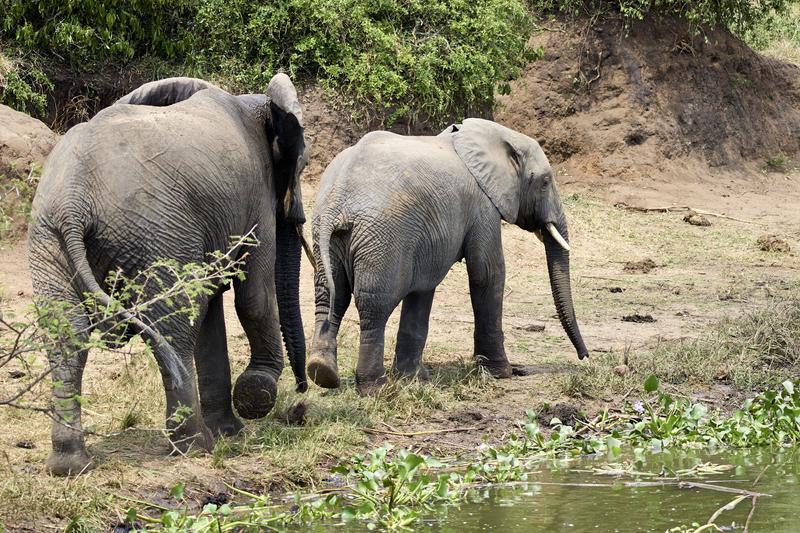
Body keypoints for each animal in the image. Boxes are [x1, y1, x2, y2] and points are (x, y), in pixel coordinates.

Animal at [28, 71, 310, 474]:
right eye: (303, 167)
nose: (302, 395)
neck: (253, 103)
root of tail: (72, 203)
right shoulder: (256, 197)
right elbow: (254, 295)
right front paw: (255, 396)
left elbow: (212, 309)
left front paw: (232, 431)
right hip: (151, 233)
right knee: (174, 329)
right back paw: (195, 445)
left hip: (49, 239)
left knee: (67, 333)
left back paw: (69, 465)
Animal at [306, 118, 588, 392]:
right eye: (545, 182)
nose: (584, 356)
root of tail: (337, 202)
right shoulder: (483, 206)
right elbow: (487, 274)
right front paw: (501, 373)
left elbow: (422, 289)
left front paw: (413, 378)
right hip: (381, 237)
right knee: (373, 306)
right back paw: (375, 388)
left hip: (329, 235)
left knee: (331, 295)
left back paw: (322, 372)